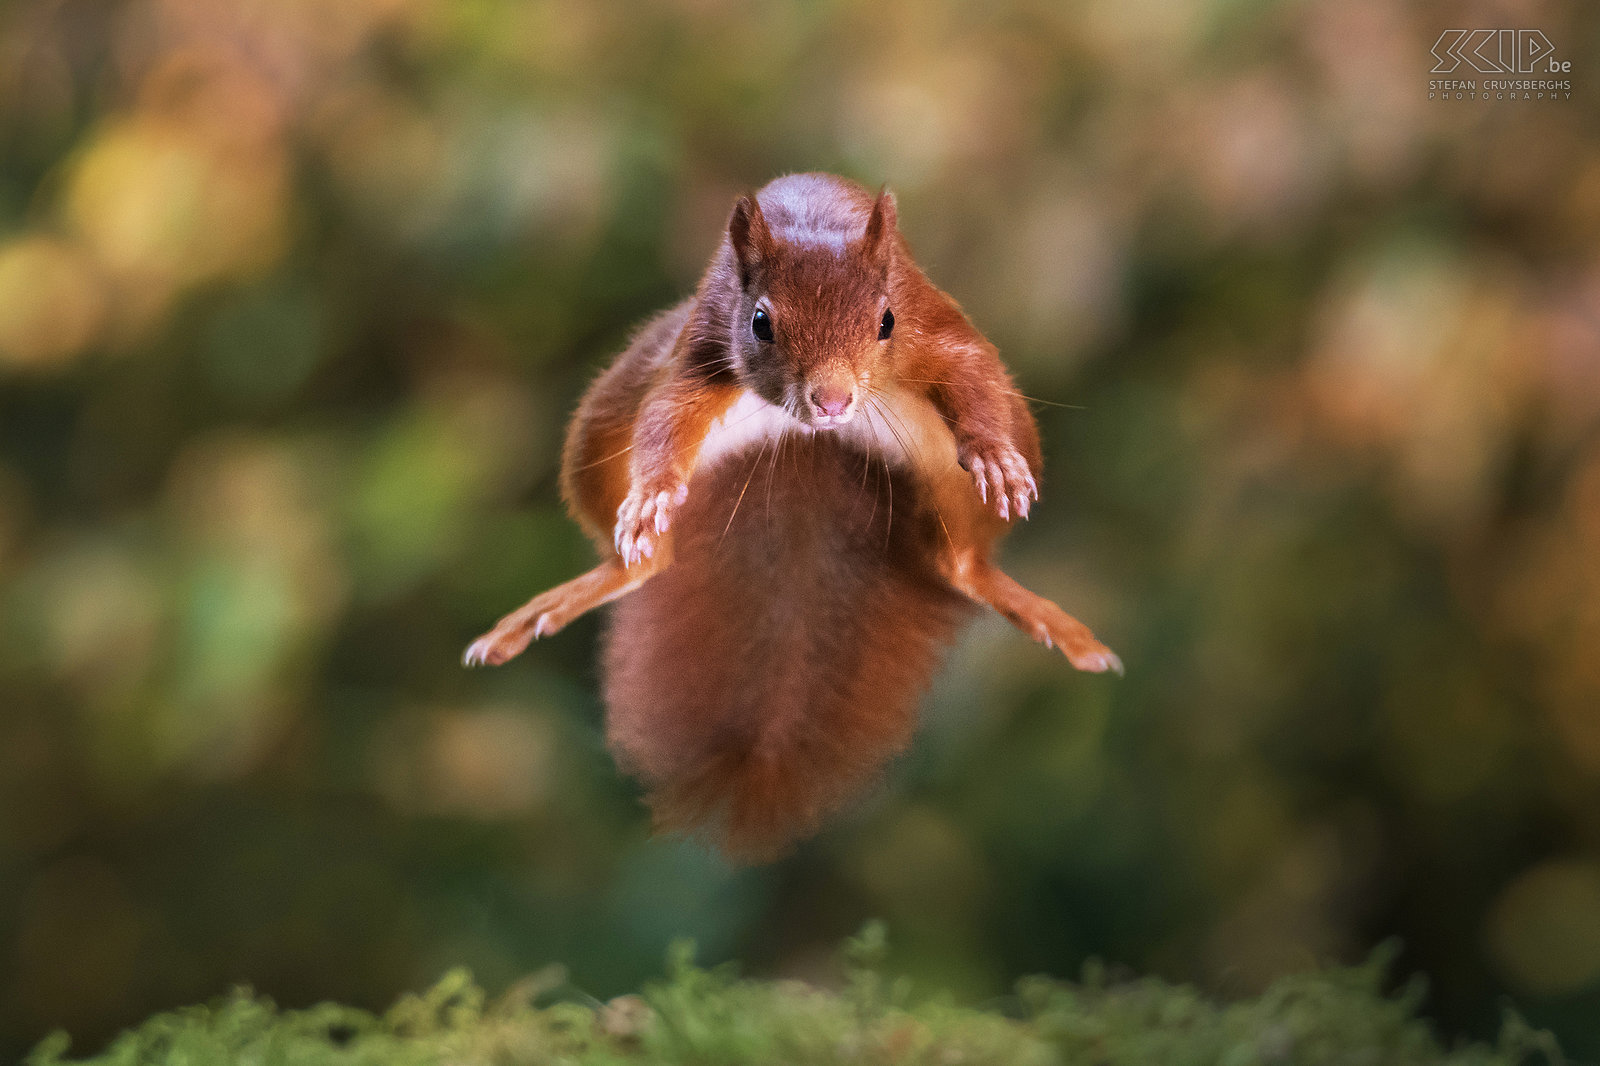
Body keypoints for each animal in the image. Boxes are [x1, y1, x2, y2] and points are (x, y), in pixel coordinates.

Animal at [464, 172, 1120, 857]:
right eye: (760, 322)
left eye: (886, 320)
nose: (831, 401)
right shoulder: (703, 349)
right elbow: (665, 421)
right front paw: (653, 491)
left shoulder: (935, 329)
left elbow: (973, 377)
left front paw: (993, 453)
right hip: (602, 428)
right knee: (646, 557)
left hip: (952, 477)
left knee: (960, 562)